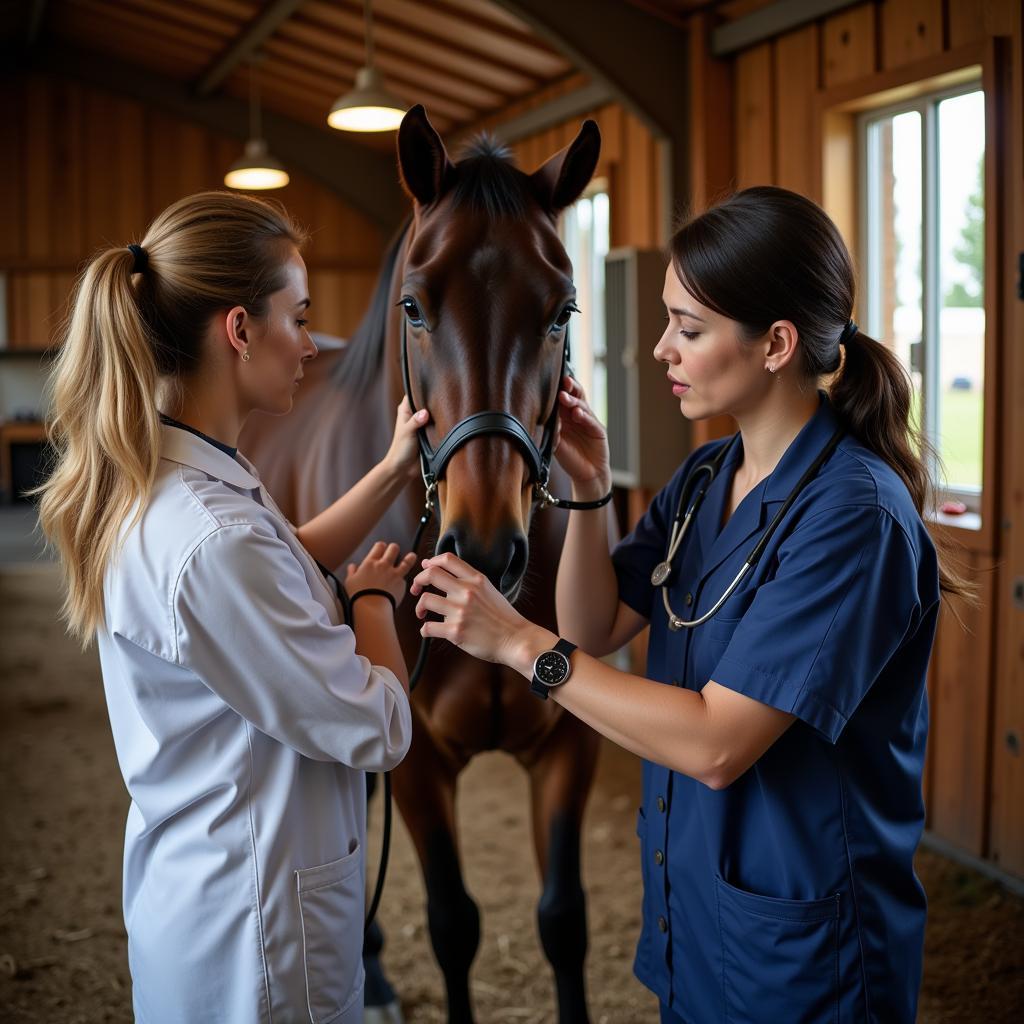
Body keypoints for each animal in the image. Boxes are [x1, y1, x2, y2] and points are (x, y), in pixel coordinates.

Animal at [240, 105, 602, 1024]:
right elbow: (452, 923)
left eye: (562, 310)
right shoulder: (418, 752)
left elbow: (563, 921)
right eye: (414, 304)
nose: (485, 550)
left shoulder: (569, 743)